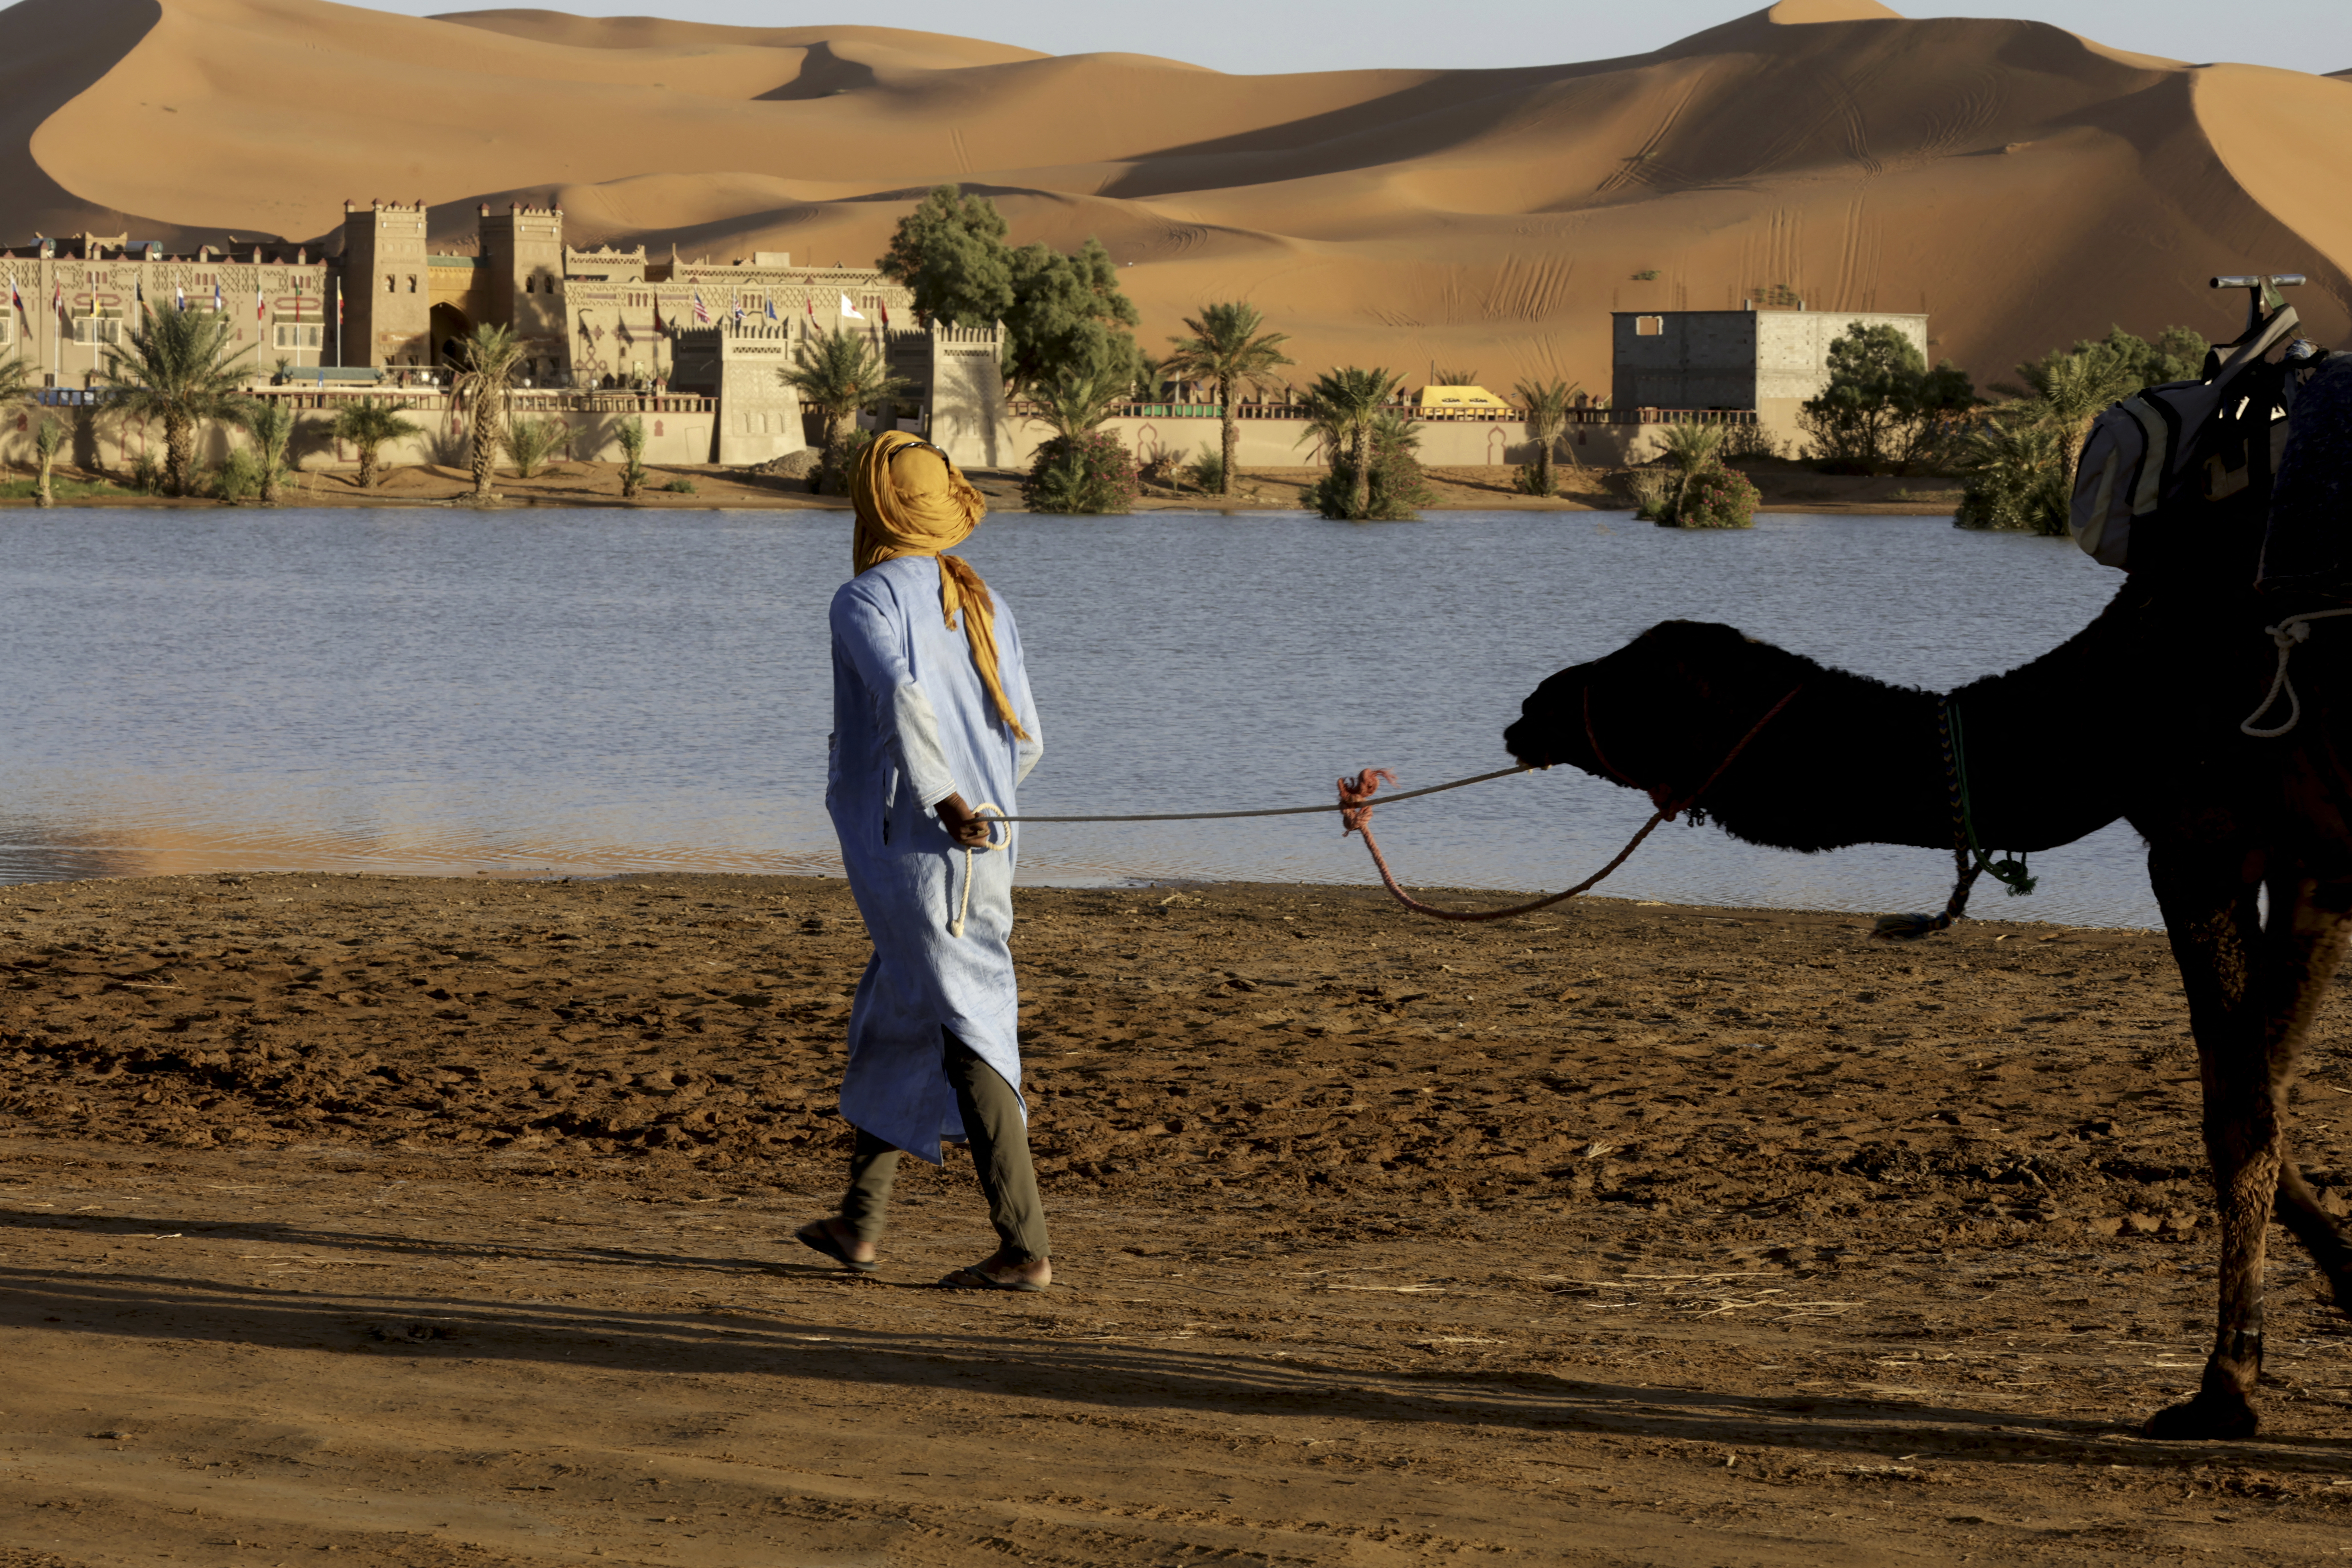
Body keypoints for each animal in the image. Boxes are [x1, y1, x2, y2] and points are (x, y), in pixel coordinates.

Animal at [1498, 529, 2352, 1439]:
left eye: (1634, 676)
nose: (1531, 704)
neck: (2101, 708)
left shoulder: (2202, 838)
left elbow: (2237, 1117)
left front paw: (2223, 1388)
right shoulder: (2312, 863)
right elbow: (2269, 1094)